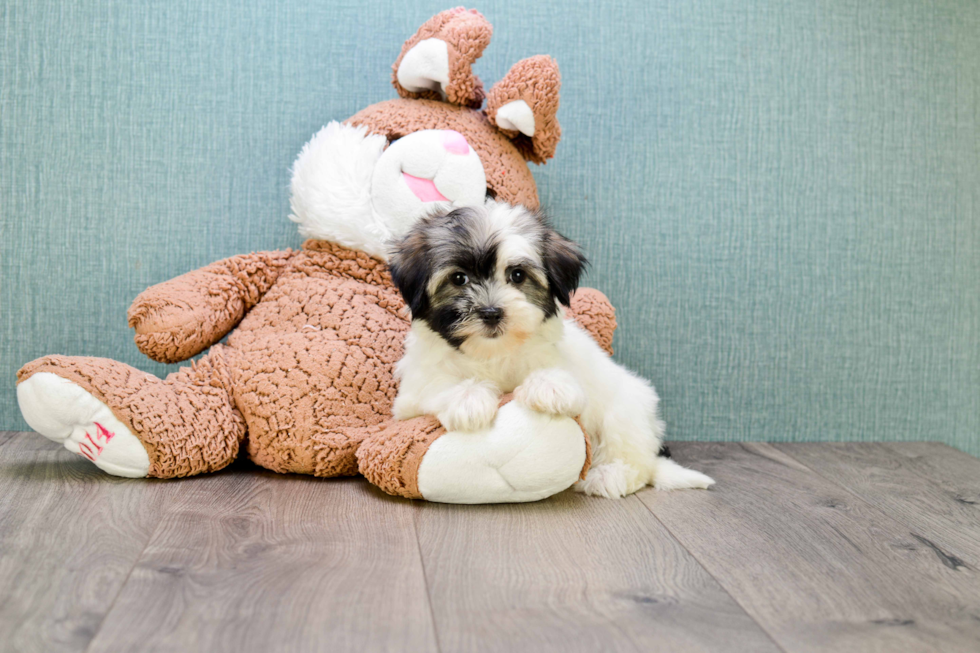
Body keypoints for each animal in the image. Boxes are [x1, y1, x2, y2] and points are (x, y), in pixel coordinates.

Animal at [386, 201, 716, 496]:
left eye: (517, 275)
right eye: (458, 278)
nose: (491, 312)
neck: (493, 353)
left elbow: (559, 378)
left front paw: (550, 388)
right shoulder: (411, 396)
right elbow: (438, 385)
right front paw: (469, 399)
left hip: (626, 411)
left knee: (637, 463)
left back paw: (606, 476)